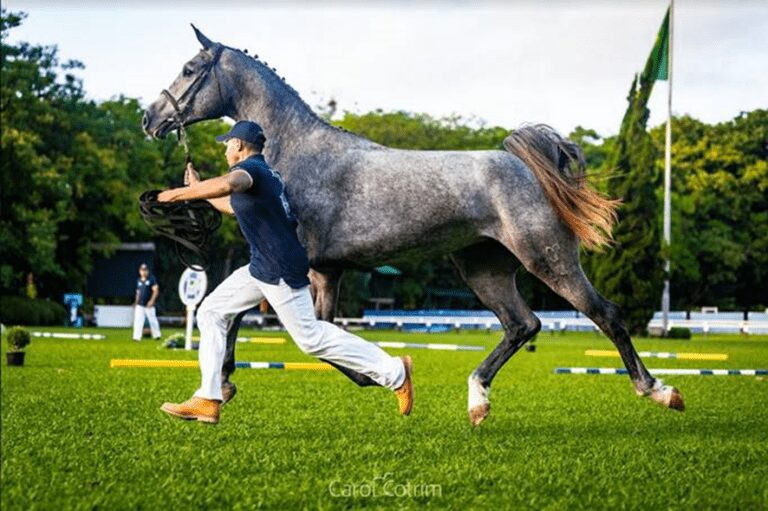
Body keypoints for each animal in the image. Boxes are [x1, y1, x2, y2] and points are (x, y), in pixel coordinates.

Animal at [142, 25, 684, 426]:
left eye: (190, 69)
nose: (150, 117)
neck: (295, 154)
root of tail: (526, 165)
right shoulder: (318, 272)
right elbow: (277, 328)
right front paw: (224, 384)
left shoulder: (305, 270)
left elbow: (317, 340)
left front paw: (381, 377)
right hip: (484, 270)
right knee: (523, 324)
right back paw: (477, 402)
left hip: (548, 260)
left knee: (604, 314)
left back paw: (659, 391)